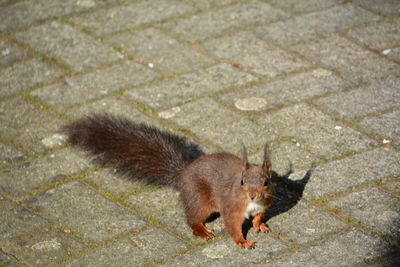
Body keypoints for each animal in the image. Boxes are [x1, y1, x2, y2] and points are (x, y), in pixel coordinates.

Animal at [62, 113, 276, 249]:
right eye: (242, 182)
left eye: (266, 182)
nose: (252, 195)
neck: (252, 203)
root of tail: (182, 174)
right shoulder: (231, 208)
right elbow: (232, 226)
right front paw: (243, 242)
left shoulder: (265, 205)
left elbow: (258, 216)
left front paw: (260, 225)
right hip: (199, 200)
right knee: (192, 219)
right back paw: (202, 230)